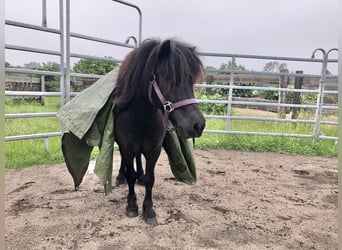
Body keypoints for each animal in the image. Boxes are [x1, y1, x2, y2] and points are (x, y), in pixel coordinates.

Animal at [112, 38, 204, 224]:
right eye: (170, 80)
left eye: (191, 81)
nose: (198, 125)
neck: (141, 117)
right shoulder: (126, 148)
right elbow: (130, 175)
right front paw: (132, 206)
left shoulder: (153, 150)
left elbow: (150, 179)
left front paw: (148, 210)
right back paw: (120, 177)